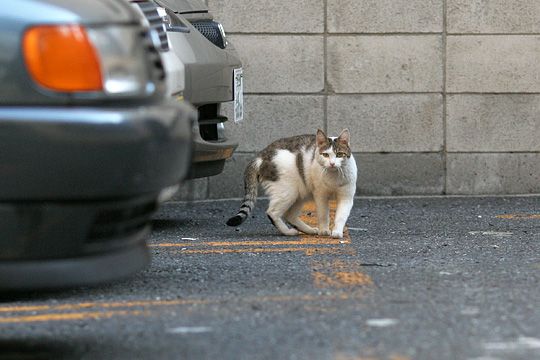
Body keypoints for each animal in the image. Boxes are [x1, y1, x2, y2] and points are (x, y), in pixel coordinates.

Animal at [226, 128, 356, 238]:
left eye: (339, 154)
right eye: (325, 155)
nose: (332, 164)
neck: (333, 176)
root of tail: (260, 155)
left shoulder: (346, 197)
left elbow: (341, 216)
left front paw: (337, 232)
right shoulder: (320, 195)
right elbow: (323, 214)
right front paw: (324, 230)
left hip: (300, 193)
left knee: (290, 215)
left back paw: (309, 230)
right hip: (287, 192)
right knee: (272, 213)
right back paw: (288, 232)